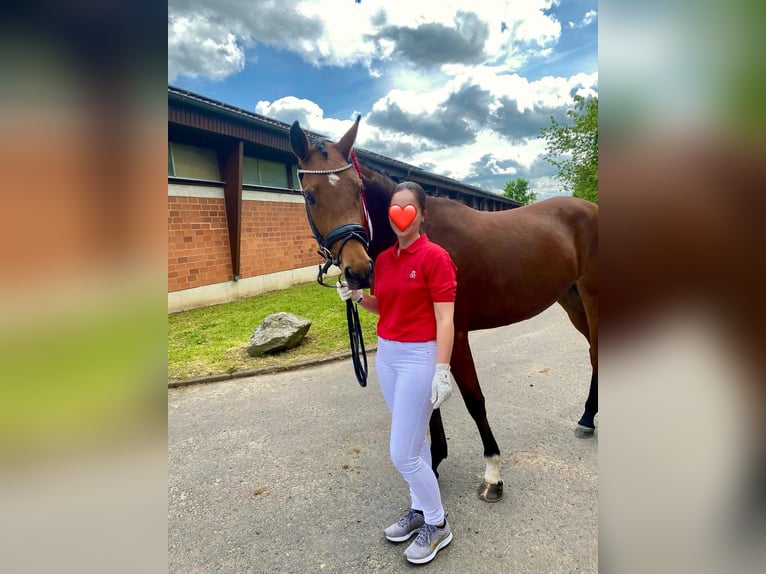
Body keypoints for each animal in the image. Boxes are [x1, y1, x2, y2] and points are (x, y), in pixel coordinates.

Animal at [292, 118, 596, 504]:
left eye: (356, 189)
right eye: (310, 195)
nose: (358, 271)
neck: (421, 235)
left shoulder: (456, 333)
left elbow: (474, 400)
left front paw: (493, 474)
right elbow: (428, 402)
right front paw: (433, 463)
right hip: (571, 299)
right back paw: (587, 418)